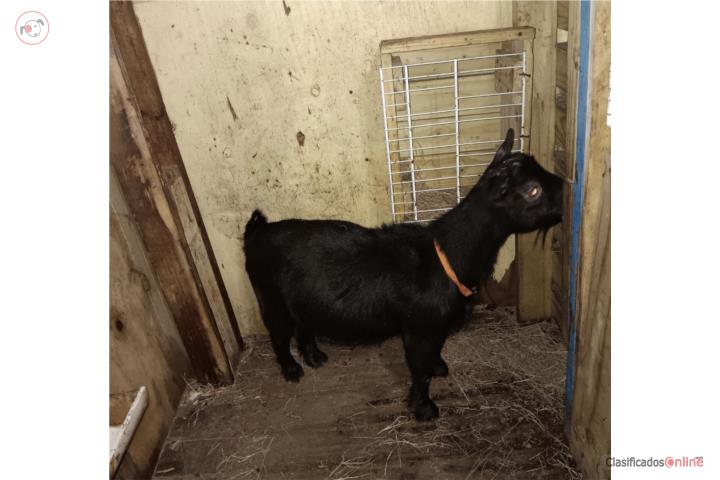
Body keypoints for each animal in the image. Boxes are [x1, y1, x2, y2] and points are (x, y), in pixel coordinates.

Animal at [243, 129, 563, 420]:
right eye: (533, 190)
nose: (565, 189)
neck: (448, 254)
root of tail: (256, 234)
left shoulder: (436, 326)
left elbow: (434, 354)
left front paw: (439, 367)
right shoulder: (419, 329)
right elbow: (420, 372)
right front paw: (424, 409)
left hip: (300, 299)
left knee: (303, 324)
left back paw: (314, 356)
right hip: (269, 297)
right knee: (279, 335)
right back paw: (291, 369)